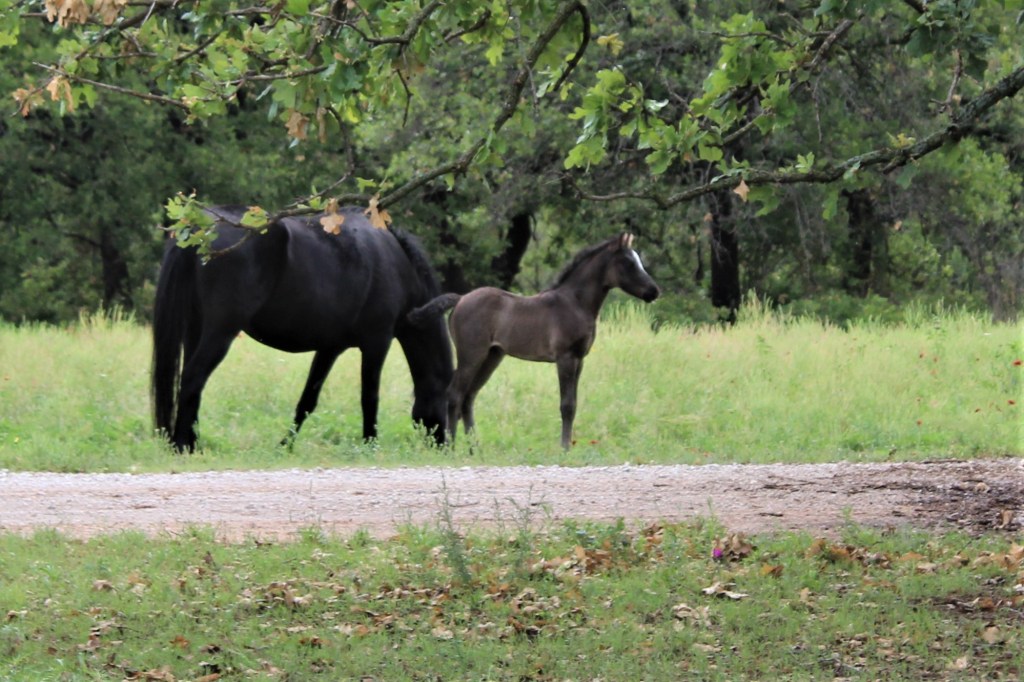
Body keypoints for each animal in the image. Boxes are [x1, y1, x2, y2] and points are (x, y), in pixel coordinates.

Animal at [151, 205, 453, 452]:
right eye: (448, 397)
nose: (446, 445)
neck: (395, 263)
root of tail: (200, 227)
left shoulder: (330, 348)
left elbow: (307, 400)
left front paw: (285, 445)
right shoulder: (377, 343)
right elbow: (369, 397)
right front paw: (370, 444)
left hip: (197, 329)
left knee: (193, 384)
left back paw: (192, 443)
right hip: (221, 331)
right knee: (192, 378)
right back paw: (182, 445)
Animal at [409, 233, 660, 449]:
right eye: (628, 263)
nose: (654, 292)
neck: (574, 303)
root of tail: (461, 299)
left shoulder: (579, 359)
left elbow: (574, 404)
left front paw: (567, 446)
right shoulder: (565, 358)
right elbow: (566, 405)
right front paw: (564, 449)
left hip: (492, 356)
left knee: (468, 397)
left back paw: (475, 449)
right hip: (471, 355)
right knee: (455, 395)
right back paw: (451, 448)